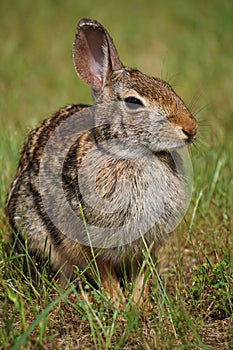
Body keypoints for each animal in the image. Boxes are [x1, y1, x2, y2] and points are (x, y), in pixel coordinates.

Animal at [6, 18, 197, 304]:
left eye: (167, 87)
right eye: (133, 102)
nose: (191, 128)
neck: (131, 153)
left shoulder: (149, 240)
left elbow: (142, 270)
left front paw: (138, 302)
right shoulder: (86, 238)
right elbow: (103, 271)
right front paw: (118, 302)